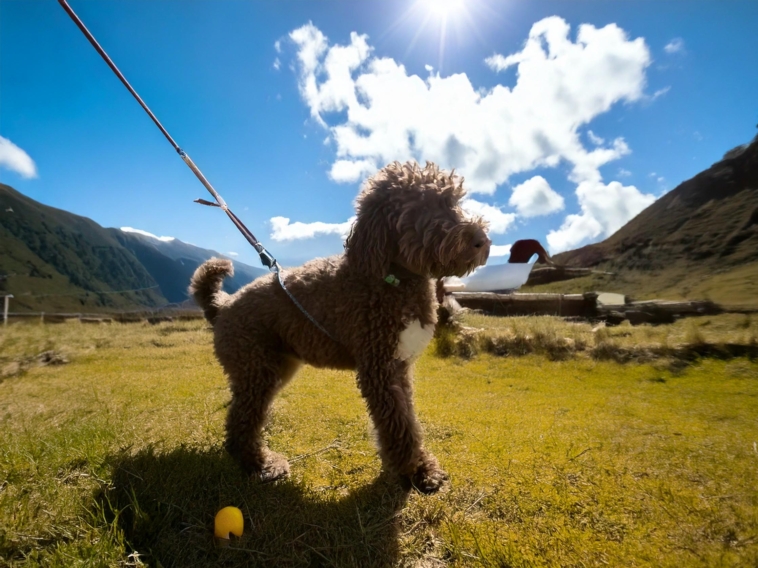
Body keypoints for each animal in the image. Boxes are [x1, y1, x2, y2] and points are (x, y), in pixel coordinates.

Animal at [190, 160, 492, 492]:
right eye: (425, 205)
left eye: (455, 201)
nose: (481, 240)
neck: (395, 279)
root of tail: (221, 305)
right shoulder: (379, 368)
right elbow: (399, 424)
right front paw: (413, 471)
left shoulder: (399, 366)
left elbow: (409, 418)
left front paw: (423, 467)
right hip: (256, 370)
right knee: (242, 422)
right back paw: (260, 465)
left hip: (273, 367)